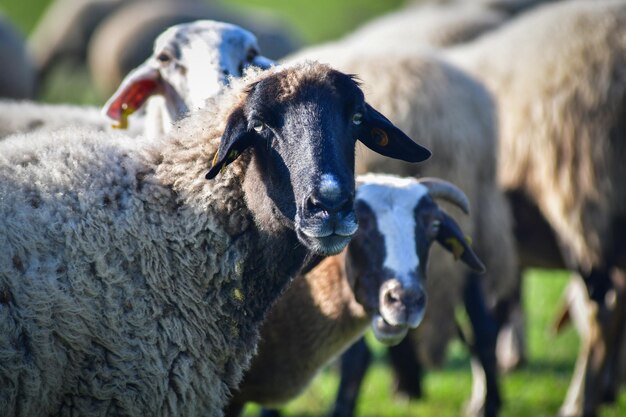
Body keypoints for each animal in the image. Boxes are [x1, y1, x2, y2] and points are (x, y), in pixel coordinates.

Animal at [436, 1, 624, 414]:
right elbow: (491, 317)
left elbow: (481, 323)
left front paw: (483, 398)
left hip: (582, 196)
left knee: (603, 310)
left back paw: (578, 403)